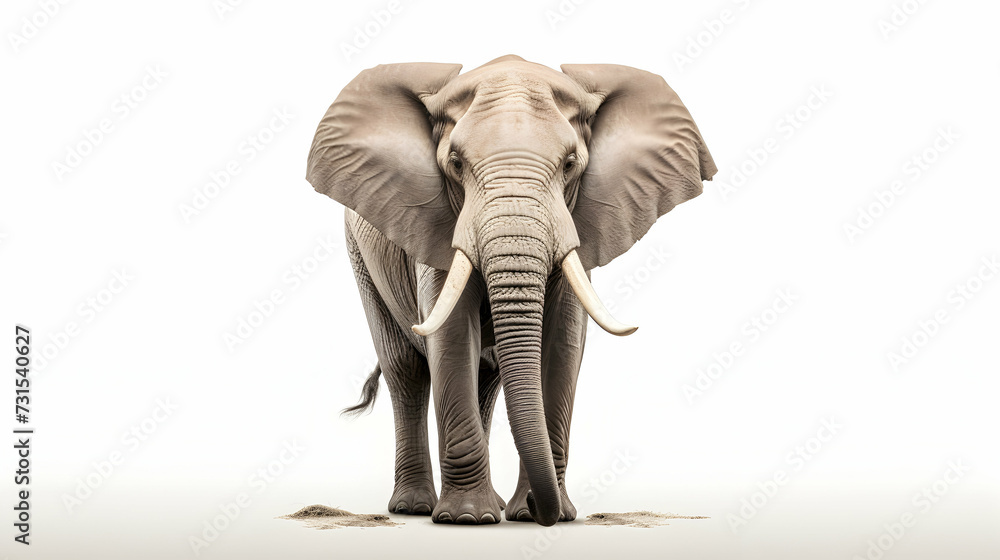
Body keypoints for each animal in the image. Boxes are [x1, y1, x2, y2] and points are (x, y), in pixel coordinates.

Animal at [305, 55, 716, 526]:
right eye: (455, 163)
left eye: (571, 164)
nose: (541, 509)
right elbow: (450, 336)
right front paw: (466, 519)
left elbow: (563, 344)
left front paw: (537, 514)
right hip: (361, 255)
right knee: (406, 369)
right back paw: (416, 508)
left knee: (486, 380)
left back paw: (497, 506)